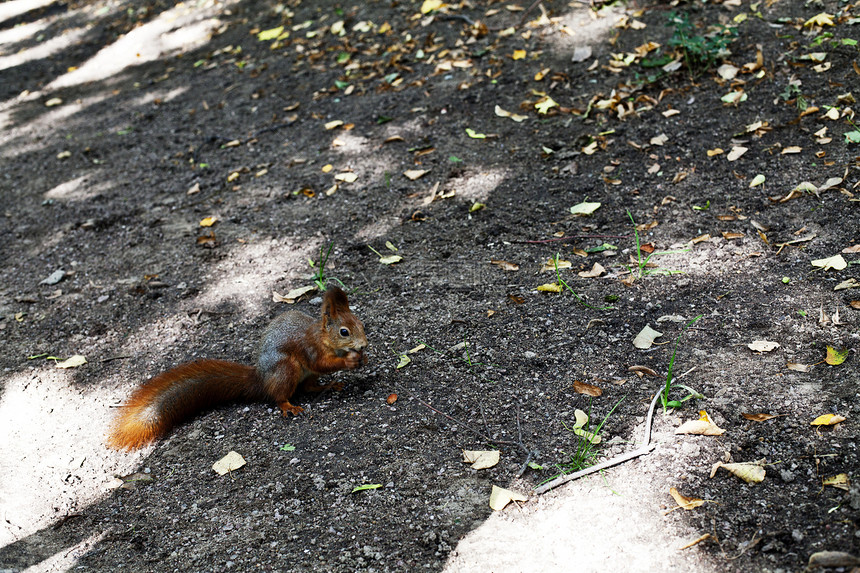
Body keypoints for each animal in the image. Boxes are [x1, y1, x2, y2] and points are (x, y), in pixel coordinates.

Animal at [107, 288, 366, 450]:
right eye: (344, 332)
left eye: (361, 324)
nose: (364, 344)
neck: (323, 338)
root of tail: (261, 379)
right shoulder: (309, 349)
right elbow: (322, 363)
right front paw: (349, 361)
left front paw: (359, 359)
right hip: (287, 368)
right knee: (281, 395)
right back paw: (288, 406)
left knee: (309, 387)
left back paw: (330, 385)